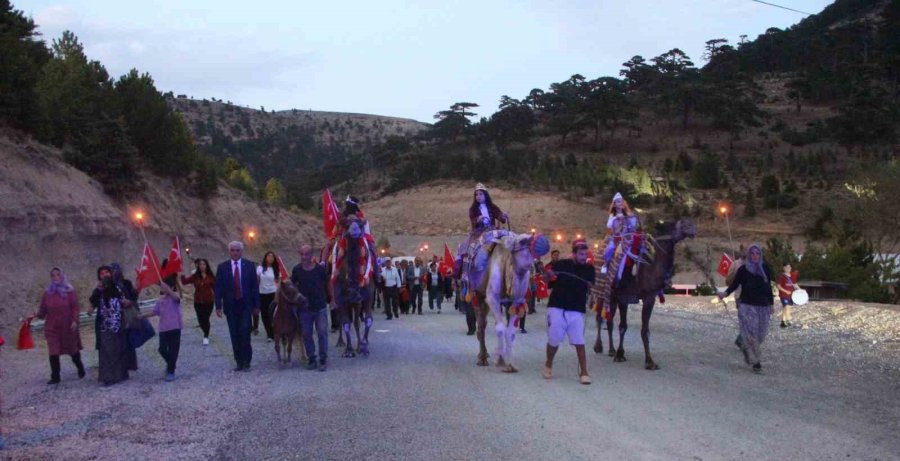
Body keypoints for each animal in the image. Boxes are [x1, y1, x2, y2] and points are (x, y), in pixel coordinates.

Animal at [464, 229, 548, 370]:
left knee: (484, 323)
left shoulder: (517, 301)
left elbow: (511, 331)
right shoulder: (493, 298)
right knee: (481, 325)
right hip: (477, 294)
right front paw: (500, 360)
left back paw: (484, 354)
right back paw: (482, 358)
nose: (533, 267)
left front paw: (509, 364)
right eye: (521, 244)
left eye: (531, 249)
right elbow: (500, 328)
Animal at [596, 219, 700, 370]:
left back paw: (611, 350)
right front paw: (621, 354)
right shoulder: (624, 297)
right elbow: (623, 326)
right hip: (603, 292)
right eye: (680, 224)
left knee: (608, 321)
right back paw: (599, 347)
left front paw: (649, 361)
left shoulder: (649, 297)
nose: (692, 228)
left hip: (612, 296)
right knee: (600, 317)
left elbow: (645, 330)